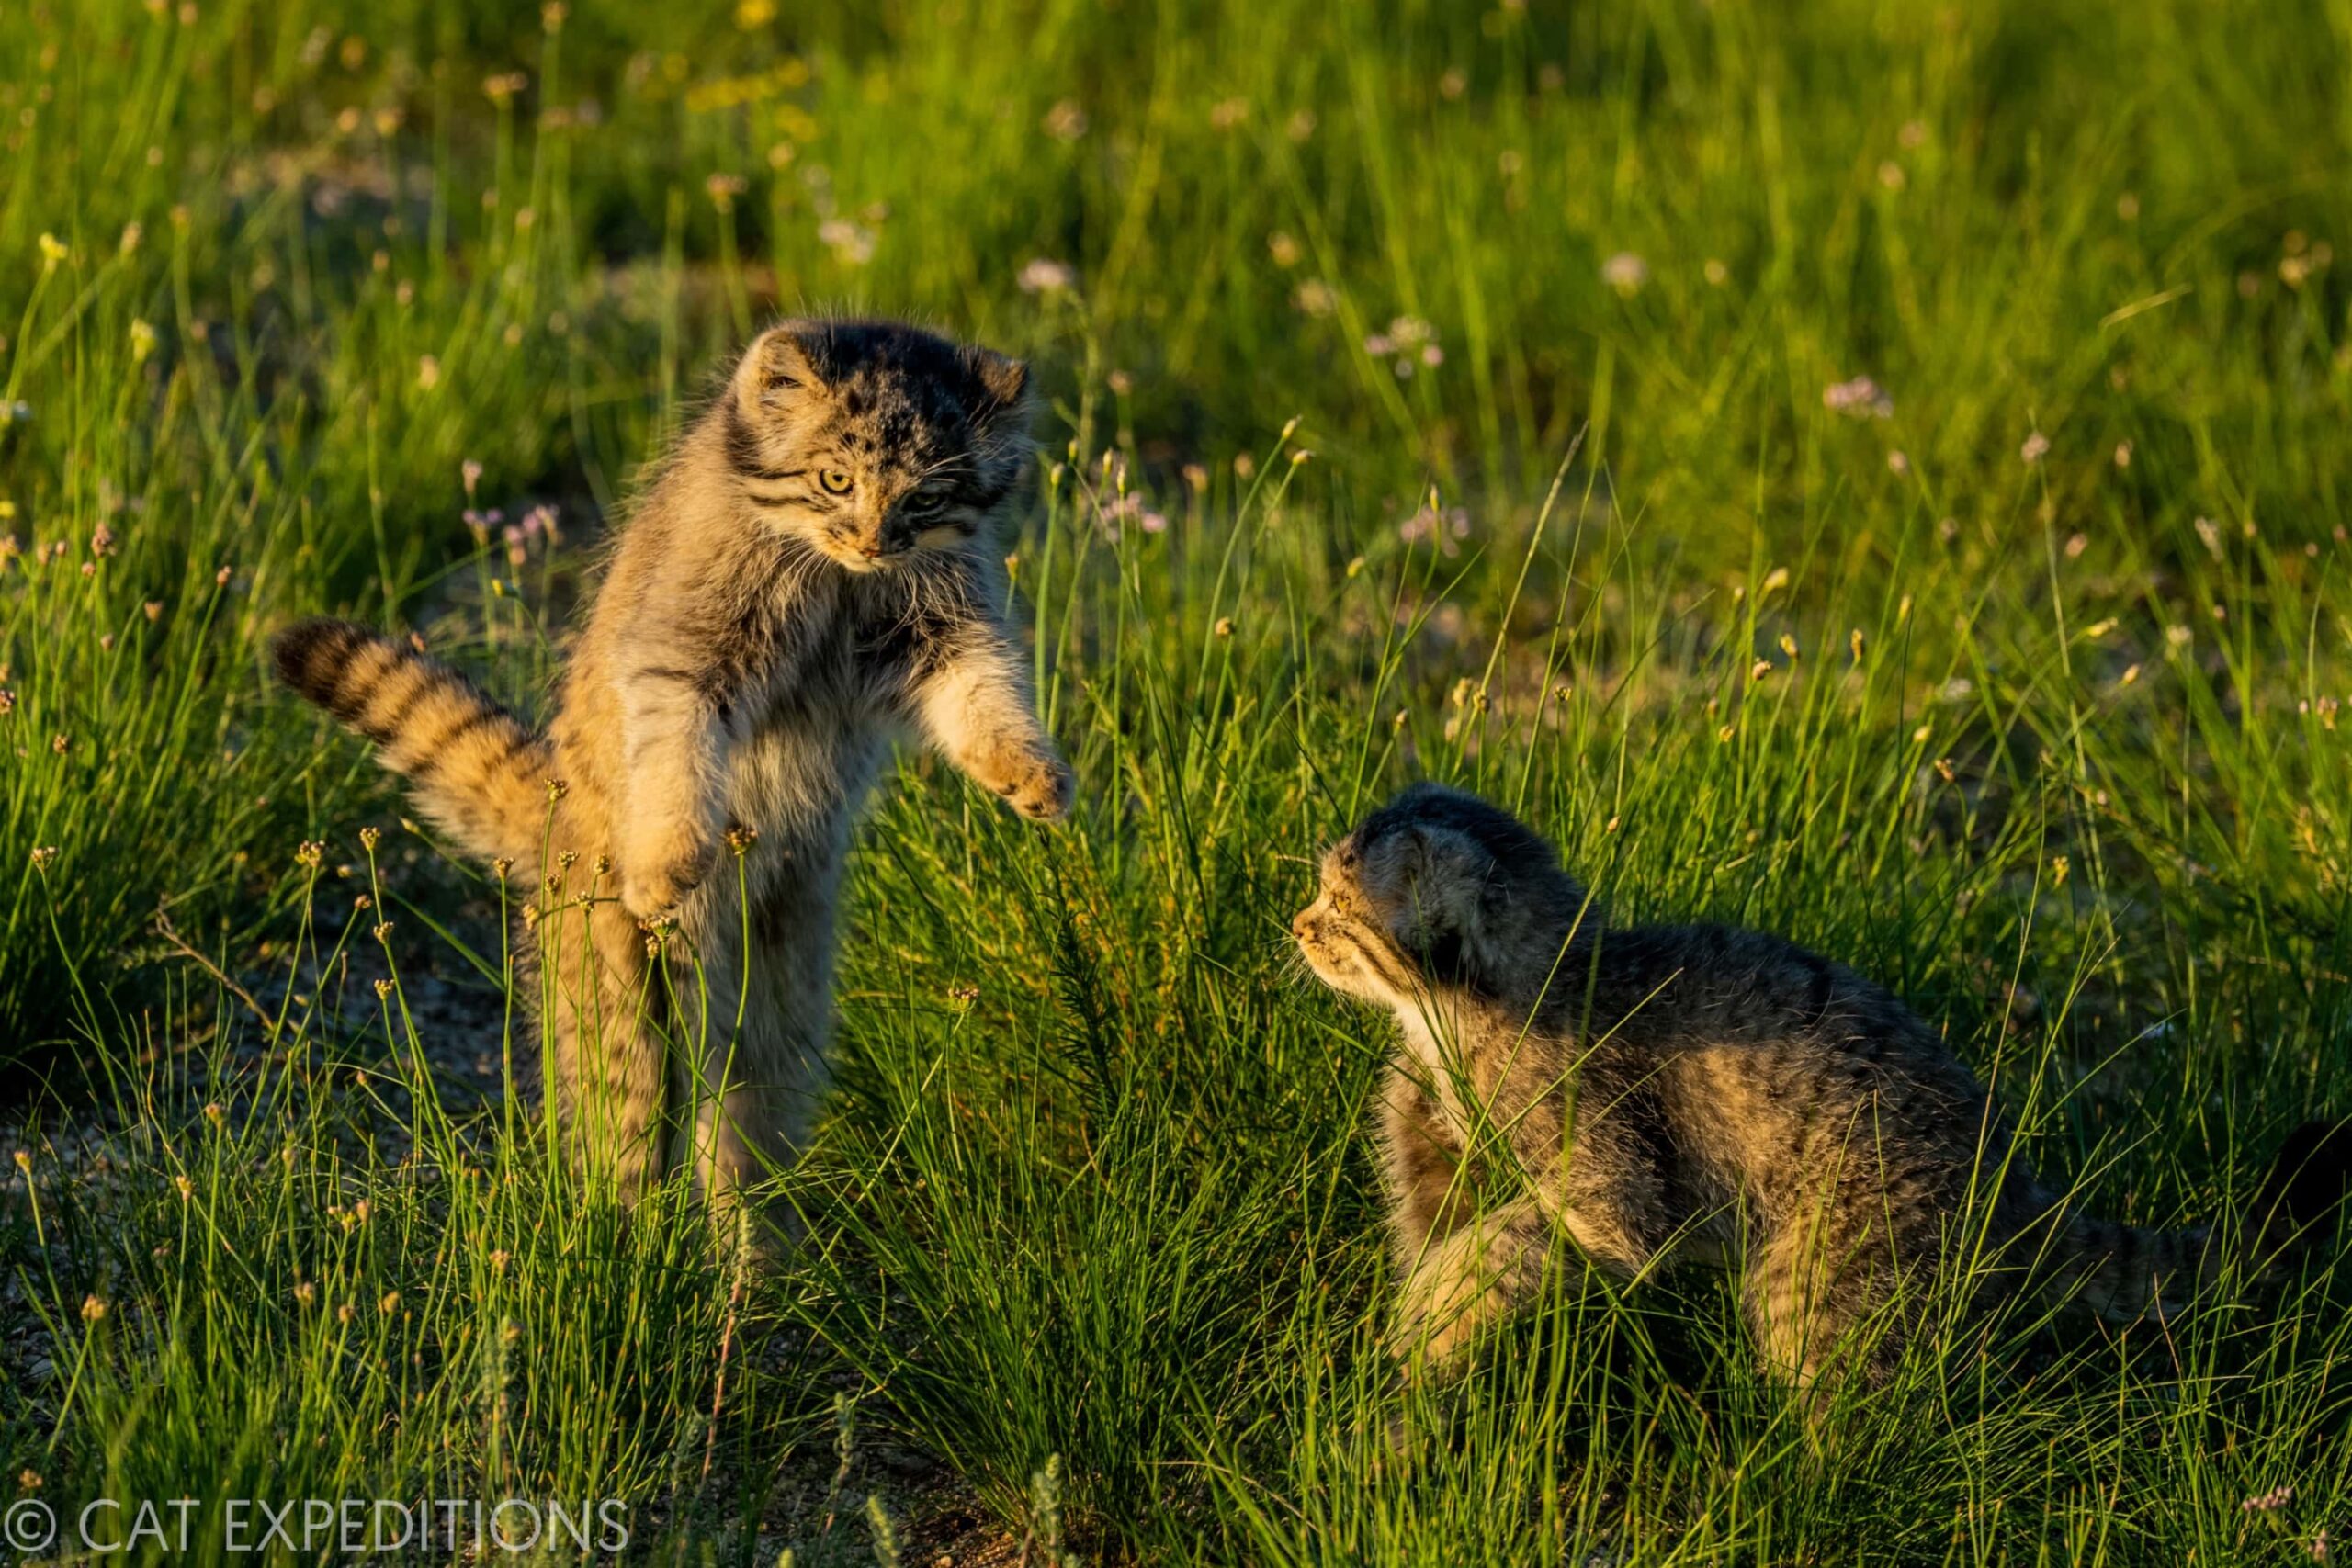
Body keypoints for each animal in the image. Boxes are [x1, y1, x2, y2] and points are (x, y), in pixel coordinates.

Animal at [277, 321, 1077, 1222]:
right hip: (617, 987)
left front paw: (1028, 770)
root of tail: (554, 812)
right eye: (836, 479)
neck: (834, 578)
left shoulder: (941, 626)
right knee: (624, 1137)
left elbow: (981, 689)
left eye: (927, 500)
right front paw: (669, 856)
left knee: (745, 1122)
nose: (876, 541)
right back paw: (620, 1241)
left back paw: (756, 1250)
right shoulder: (685, 645)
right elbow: (675, 746)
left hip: (781, 985)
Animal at [1298, 784, 2342, 1401]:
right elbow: (1446, 1218)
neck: (1448, 1022)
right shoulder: (1439, 1138)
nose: (1297, 924)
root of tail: (2005, 1173)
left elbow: (1513, 1240)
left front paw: (1429, 1319)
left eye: (1341, 908)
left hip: (1823, 1268)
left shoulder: (1612, 1189)